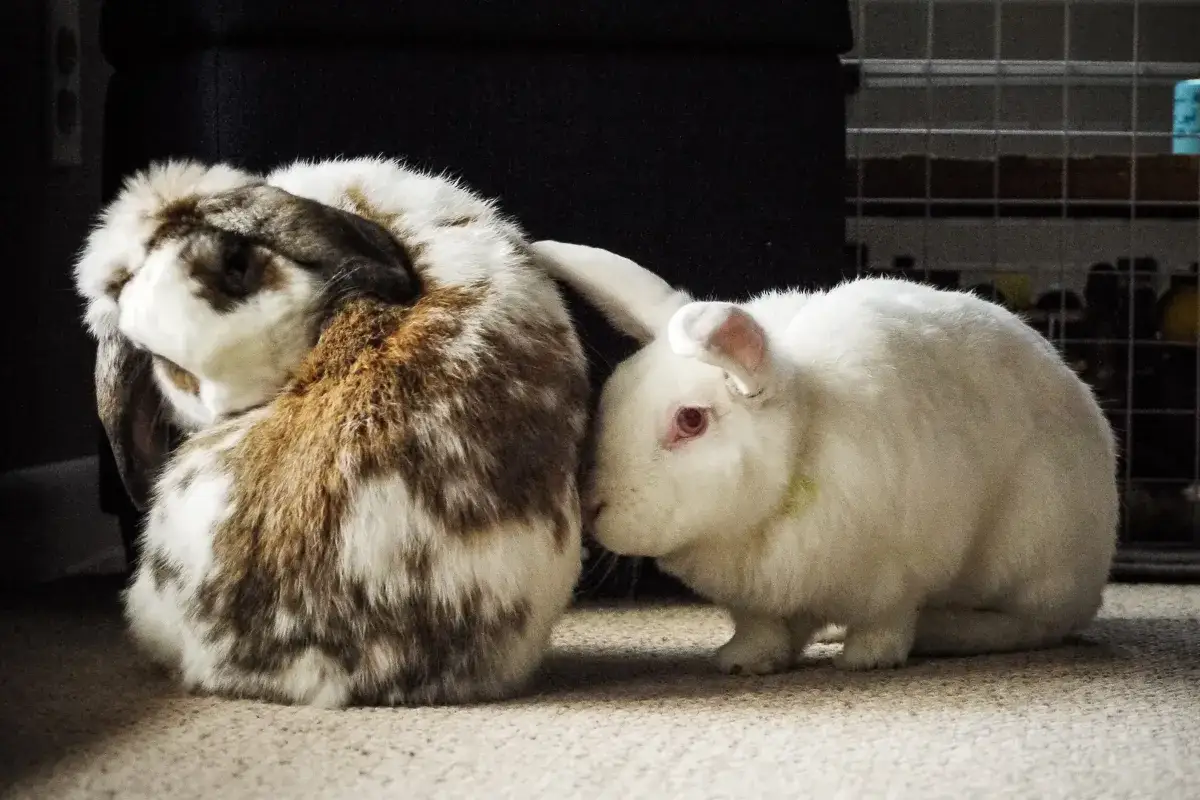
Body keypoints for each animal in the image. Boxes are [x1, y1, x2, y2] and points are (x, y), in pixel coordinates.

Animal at [530, 240, 1118, 674]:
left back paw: (943, 633)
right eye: (613, 395)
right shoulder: (757, 598)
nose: (594, 507)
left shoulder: (900, 571)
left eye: (691, 420)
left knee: (1031, 625)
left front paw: (865, 660)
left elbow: (887, 620)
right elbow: (762, 629)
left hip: (1032, 548)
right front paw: (742, 662)